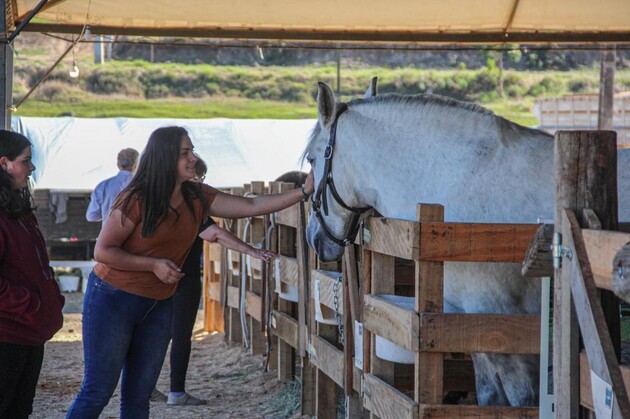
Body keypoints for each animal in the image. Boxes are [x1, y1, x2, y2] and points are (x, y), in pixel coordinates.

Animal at [304, 81, 630, 406]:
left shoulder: (502, 322)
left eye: (311, 158)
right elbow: (490, 396)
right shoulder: (470, 324)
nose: (312, 237)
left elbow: (521, 398)